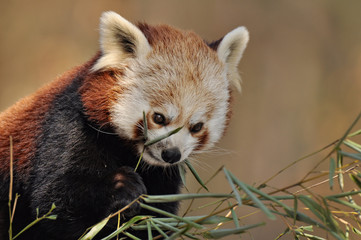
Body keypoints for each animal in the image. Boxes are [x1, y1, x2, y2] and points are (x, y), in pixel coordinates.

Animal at [0, 11, 248, 240]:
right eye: (159, 118)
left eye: (196, 127)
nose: (171, 154)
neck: (130, 154)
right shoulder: (67, 129)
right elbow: (53, 202)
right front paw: (121, 187)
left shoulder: (164, 176)